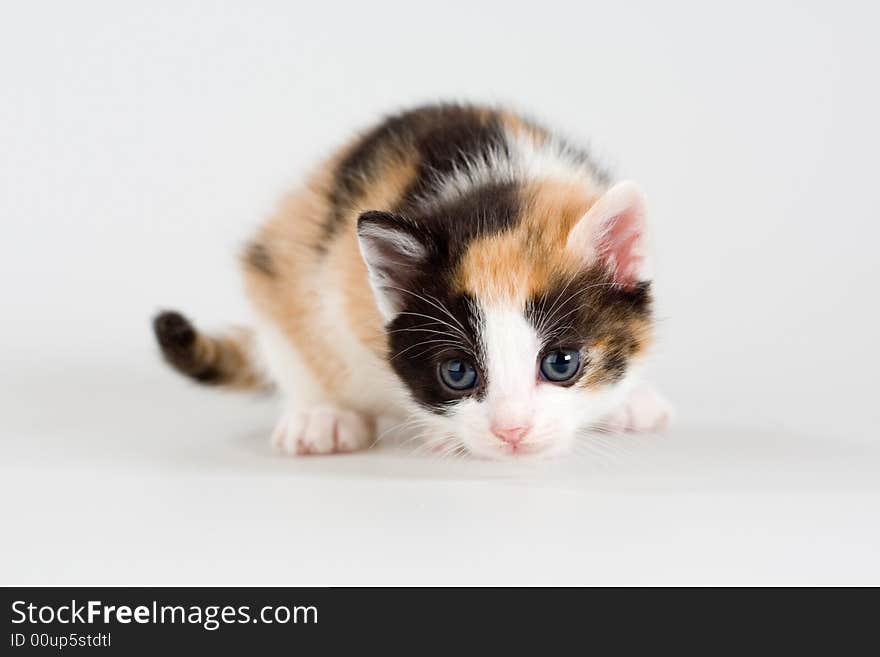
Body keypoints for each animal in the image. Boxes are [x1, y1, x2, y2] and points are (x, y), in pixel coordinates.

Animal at [155, 104, 672, 462]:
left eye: (561, 364)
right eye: (458, 373)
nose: (511, 431)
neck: (496, 190)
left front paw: (624, 401)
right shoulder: (332, 282)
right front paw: (438, 432)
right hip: (278, 259)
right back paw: (320, 416)